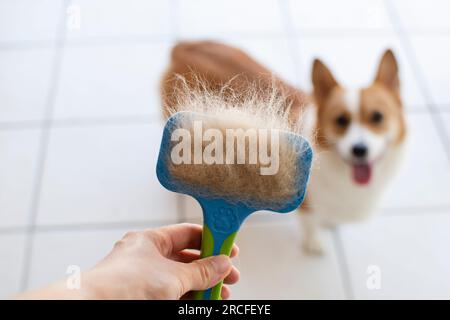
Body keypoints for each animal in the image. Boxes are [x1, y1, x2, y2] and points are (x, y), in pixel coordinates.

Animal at [160, 40, 406, 255]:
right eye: (341, 120)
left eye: (377, 117)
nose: (360, 149)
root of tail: (185, 45)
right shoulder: (307, 203)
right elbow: (310, 225)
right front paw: (314, 244)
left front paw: (329, 223)